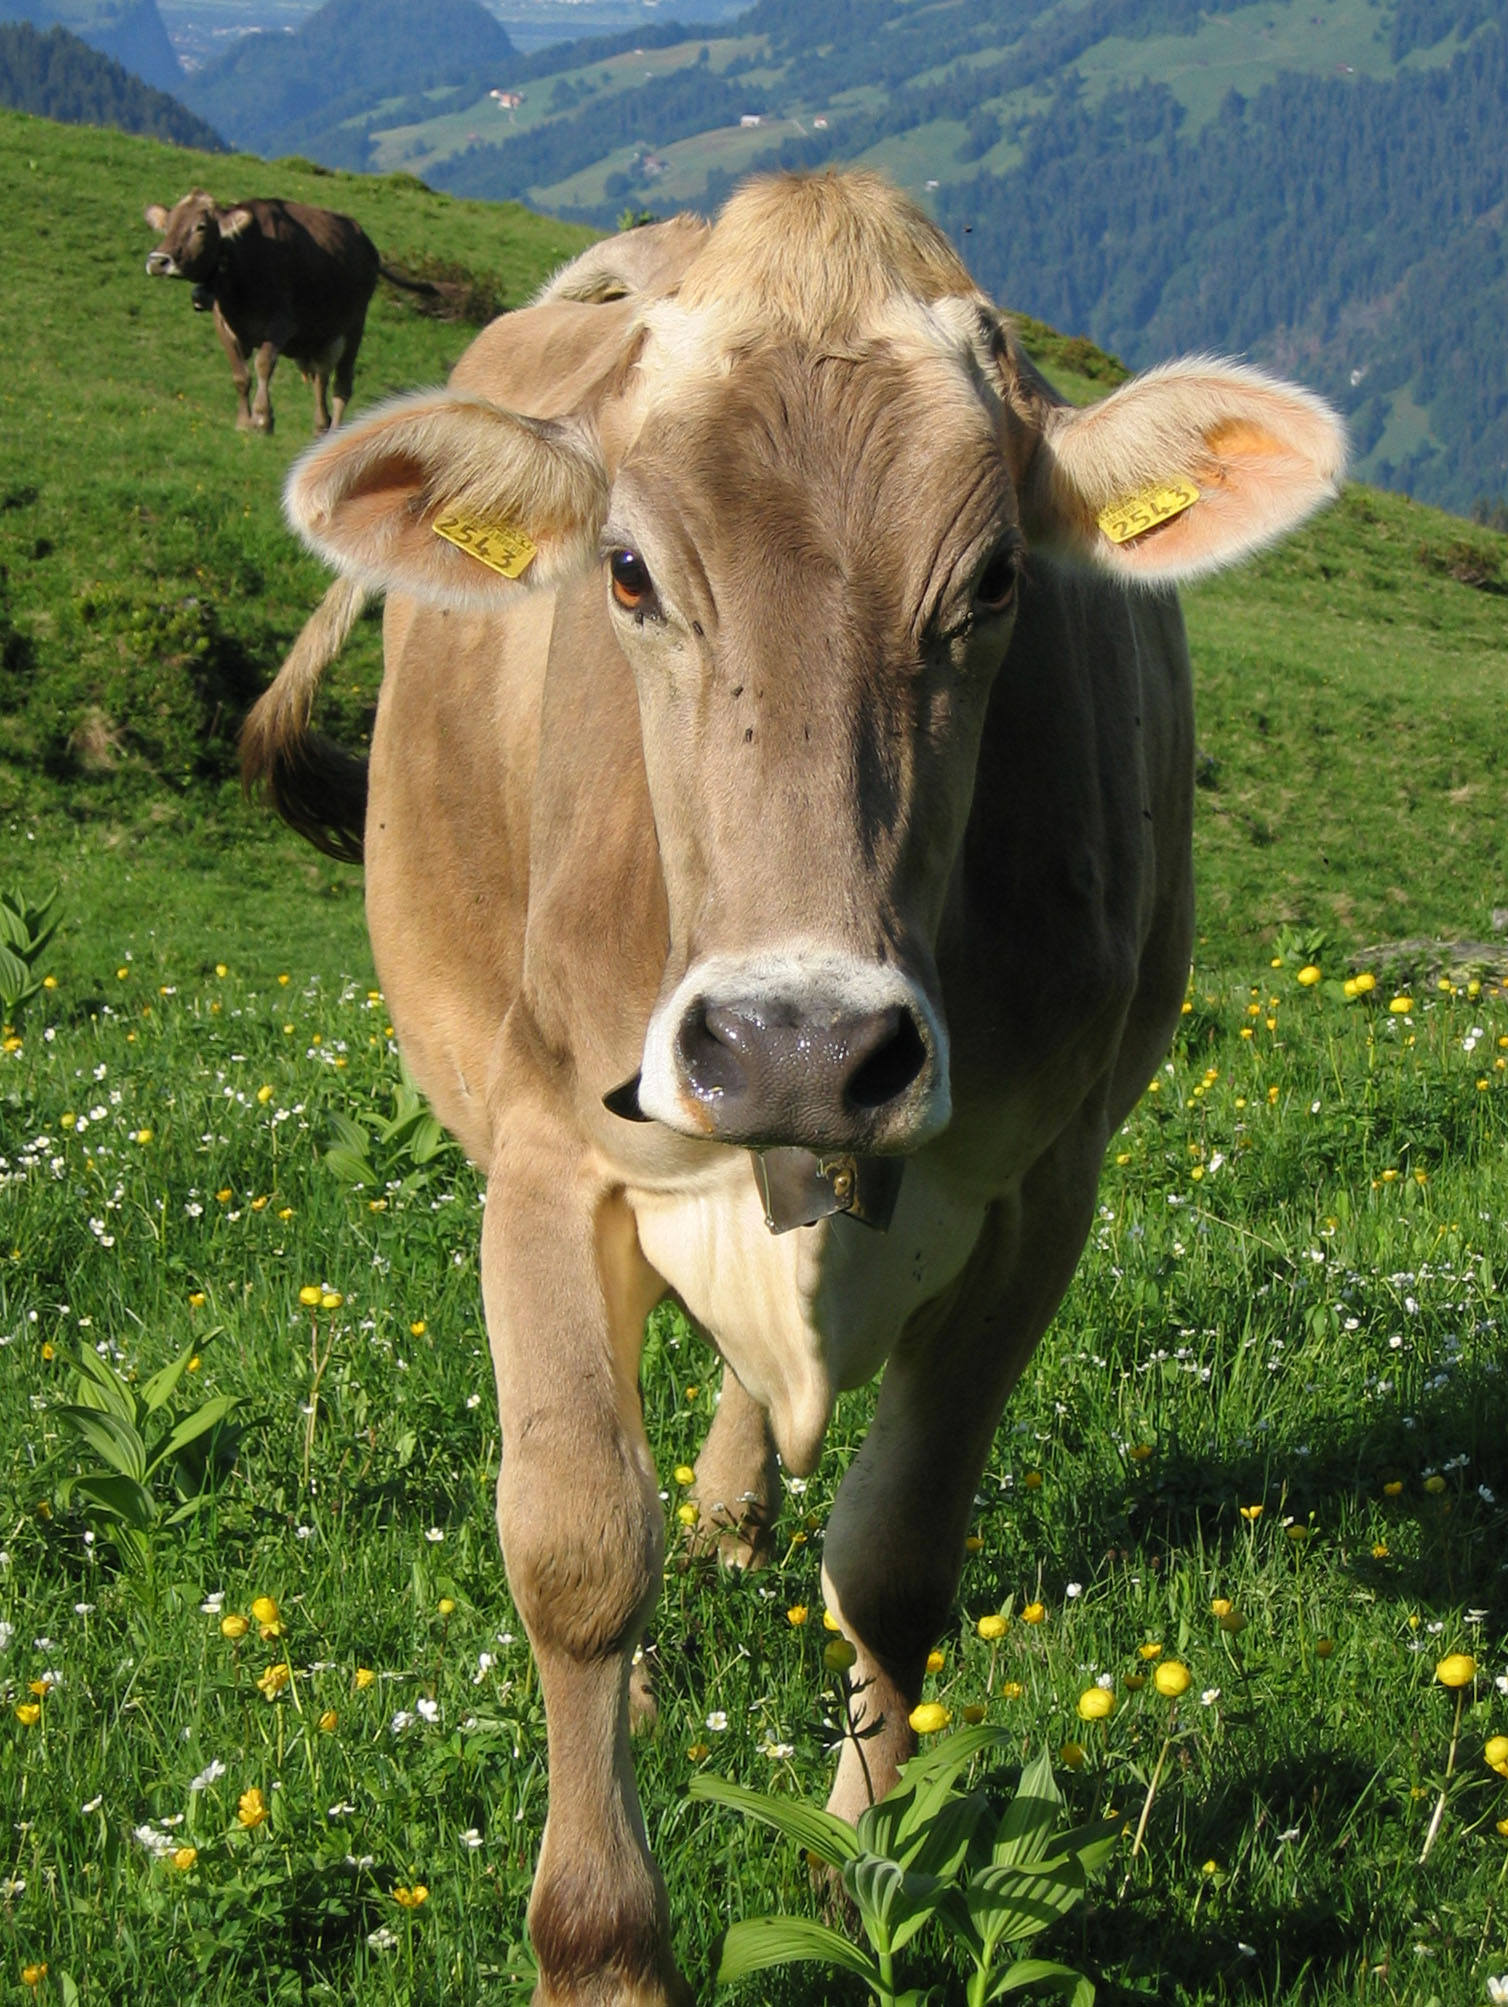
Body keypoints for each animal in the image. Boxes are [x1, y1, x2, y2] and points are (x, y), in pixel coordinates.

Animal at [142, 190, 429, 435]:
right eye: (167, 224)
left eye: (200, 227)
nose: (158, 261)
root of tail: (369, 247)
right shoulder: (224, 324)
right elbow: (240, 376)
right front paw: (243, 421)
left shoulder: (281, 324)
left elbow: (263, 365)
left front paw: (262, 419)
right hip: (319, 338)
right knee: (321, 378)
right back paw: (320, 426)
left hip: (353, 327)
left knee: (342, 386)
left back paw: (336, 430)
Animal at [242, 172, 1345, 2003]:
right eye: (627, 572)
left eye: (993, 581)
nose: (800, 1046)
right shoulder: (540, 1154)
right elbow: (572, 1546)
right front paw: (602, 1942)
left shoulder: (1040, 1185)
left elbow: (897, 1560)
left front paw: (859, 1873)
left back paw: (736, 1507)